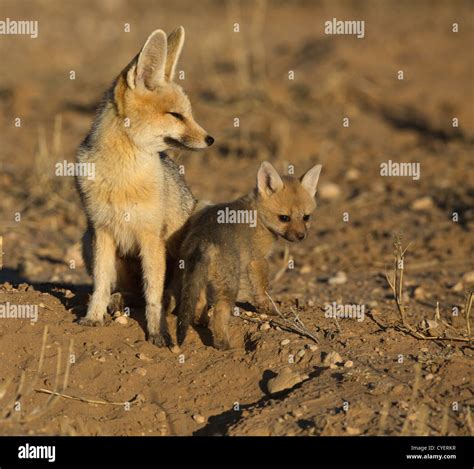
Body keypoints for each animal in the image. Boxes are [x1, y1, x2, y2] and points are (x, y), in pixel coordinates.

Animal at [77, 27, 214, 346]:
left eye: (189, 114)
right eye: (177, 115)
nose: (210, 139)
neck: (122, 178)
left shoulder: (152, 238)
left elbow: (154, 294)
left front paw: (157, 331)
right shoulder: (101, 231)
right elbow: (100, 284)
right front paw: (93, 317)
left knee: (183, 295)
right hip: (87, 240)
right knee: (130, 293)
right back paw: (119, 300)